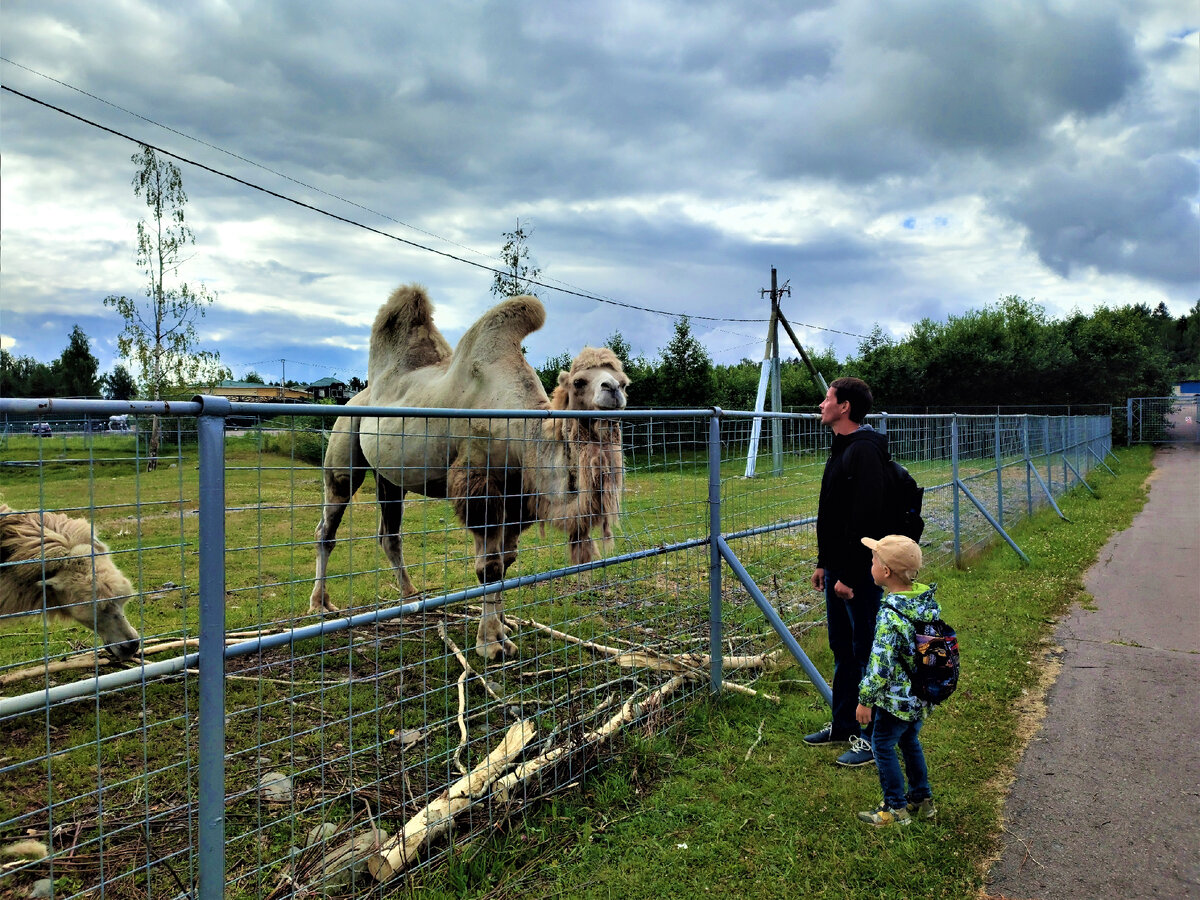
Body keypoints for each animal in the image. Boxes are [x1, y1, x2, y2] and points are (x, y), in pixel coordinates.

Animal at [307, 286, 628, 662]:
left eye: (624, 381)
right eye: (579, 381)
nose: (613, 390)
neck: (520, 430)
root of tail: (357, 396)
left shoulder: (517, 496)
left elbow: (507, 561)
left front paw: (504, 627)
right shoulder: (479, 484)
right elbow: (488, 568)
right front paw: (490, 644)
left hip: (390, 475)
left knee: (389, 534)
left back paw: (411, 595)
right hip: (345, 445)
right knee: (328, 525)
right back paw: (320, 605)